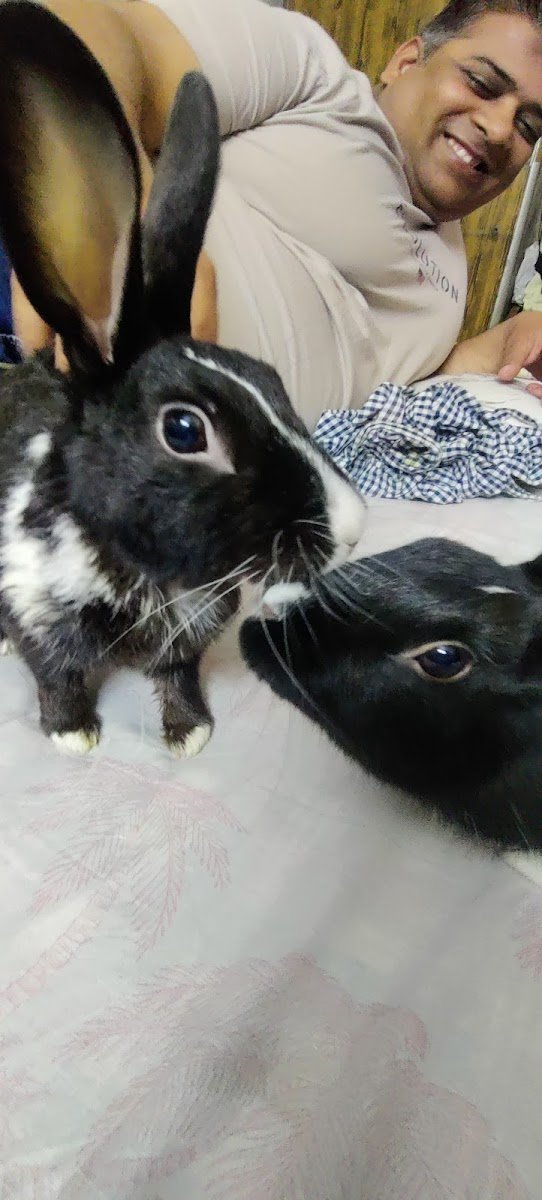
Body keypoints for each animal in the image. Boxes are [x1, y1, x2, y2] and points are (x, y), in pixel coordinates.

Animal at [0, 0, 364, 758]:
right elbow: (56, 677)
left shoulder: (188, 638)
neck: (151, 573)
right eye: (185, 430)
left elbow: (177, 674)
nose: (351, 528)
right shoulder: (35, 608)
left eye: (273, 379)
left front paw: (189, 734)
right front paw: (74, 736)